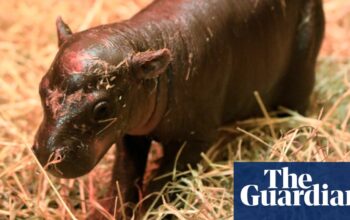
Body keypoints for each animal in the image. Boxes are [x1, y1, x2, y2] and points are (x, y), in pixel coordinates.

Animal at [32, 0, 326, 217]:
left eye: (103, 108)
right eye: (41, 86)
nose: (47, 153)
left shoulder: (195, 139)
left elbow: (165, 180)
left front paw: (150, 211)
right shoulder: (131, 132)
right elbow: (124, 175)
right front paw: (109, 212)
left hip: (302, 70)